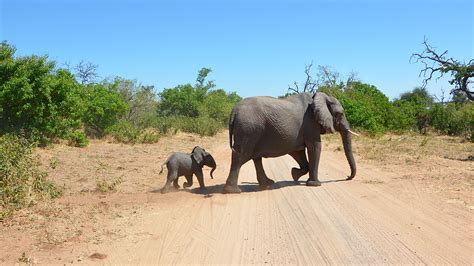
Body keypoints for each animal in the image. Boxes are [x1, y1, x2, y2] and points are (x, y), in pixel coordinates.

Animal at [224, 91, 358, 193]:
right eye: (340, 114)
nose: (347, 177)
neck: (320, 97)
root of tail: (233, 111)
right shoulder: (310, 124)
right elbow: (315, 147)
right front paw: (314, 184)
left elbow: (298, 152)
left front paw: (295, 175)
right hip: (248, 130)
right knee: (240, 156)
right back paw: (234, 191)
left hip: (251, 131)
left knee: (255, 157)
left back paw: (267, 184)